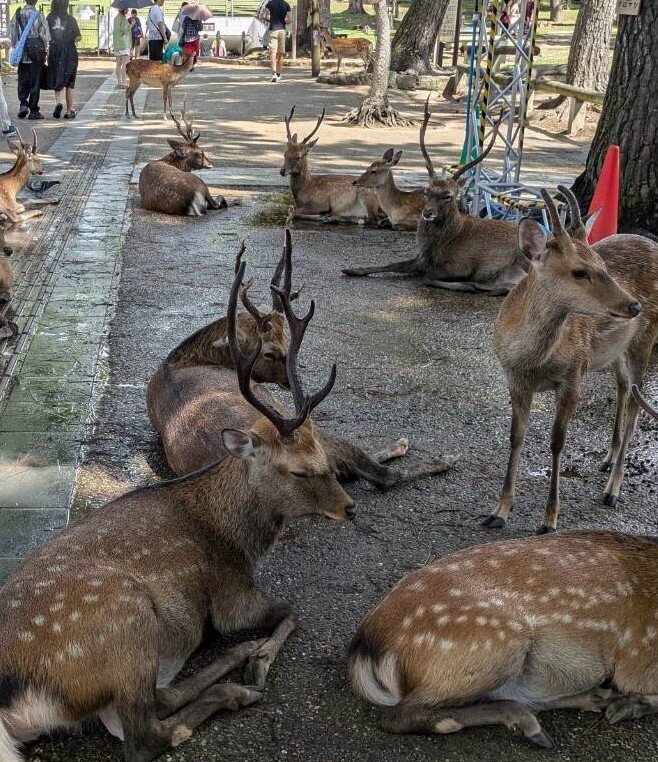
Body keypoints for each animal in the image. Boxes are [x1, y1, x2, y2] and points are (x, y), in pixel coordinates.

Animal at [0, 253, 366, 762]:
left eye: (327, 462)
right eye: (298, 471)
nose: (350, 508)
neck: (240, 538)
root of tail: (9, 702)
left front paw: (253, 656)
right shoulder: (233, 595)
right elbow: (293, 609)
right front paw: (260, 660)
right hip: (124, 619)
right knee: (144, 733)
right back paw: (238, 681)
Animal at [147, 230, 458, 489]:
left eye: (286, 338)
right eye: (271, 352)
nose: (290, 377)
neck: (188, 356)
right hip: (311, 430)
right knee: (384, 476)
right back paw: (440, 457)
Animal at [343, 100, 527, 295]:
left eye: (448, 196)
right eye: (426, 191)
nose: (427, 213)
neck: (438, 246)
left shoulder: (462, 266)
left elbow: (428, 278)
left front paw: (467, 285)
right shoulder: (420, 259)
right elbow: (389, 264)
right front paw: (351, 269)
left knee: (511, 286)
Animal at [349, 530, 658, 748]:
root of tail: (366, 645)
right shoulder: (638, 654)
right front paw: (632, 705)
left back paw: (595, 698)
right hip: (495, 638)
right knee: (400, 715)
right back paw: (529, 723)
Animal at [485, 185, 658, 534]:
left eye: (602, 264)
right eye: (579, 271)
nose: (633, 306)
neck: (531, 360)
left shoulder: (573, 376)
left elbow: (557, 442)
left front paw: (549, 519)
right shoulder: (514, 380)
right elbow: (515, 438)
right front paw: (499, 511)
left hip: (646, 339)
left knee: (636, 405)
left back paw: (612, 490)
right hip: (617, 350)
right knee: (623, 387)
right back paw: (608, 458)